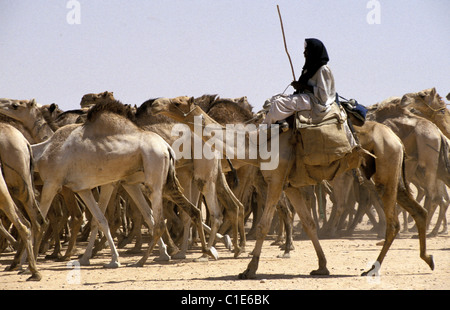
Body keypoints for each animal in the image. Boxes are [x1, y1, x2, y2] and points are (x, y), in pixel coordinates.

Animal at [0, 97, 218, 268]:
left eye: (16, 105)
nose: (3, 104)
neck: (43, 152)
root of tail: (167, 147)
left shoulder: (52, 182)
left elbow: (40, 218)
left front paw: (23, 262)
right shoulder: (83, 188)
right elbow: (100, 220)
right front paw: (105, 259)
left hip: (156, 175)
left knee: (161, 219)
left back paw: (149, 258)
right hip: (160, 180)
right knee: (188, 211)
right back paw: (201, 251)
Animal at [152, 96, 436, 278]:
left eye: (177, 102)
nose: (155, 103)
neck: (258, 143)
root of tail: (396, 138)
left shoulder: (276, 180)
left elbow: (264, 225)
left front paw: (249, 269)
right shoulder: (291, 185)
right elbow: (309, 224)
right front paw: (321, 267)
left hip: (385, 167)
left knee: (394, 222)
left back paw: (372, 268)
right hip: (387, 172)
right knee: (417, 211)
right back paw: (427, 258)